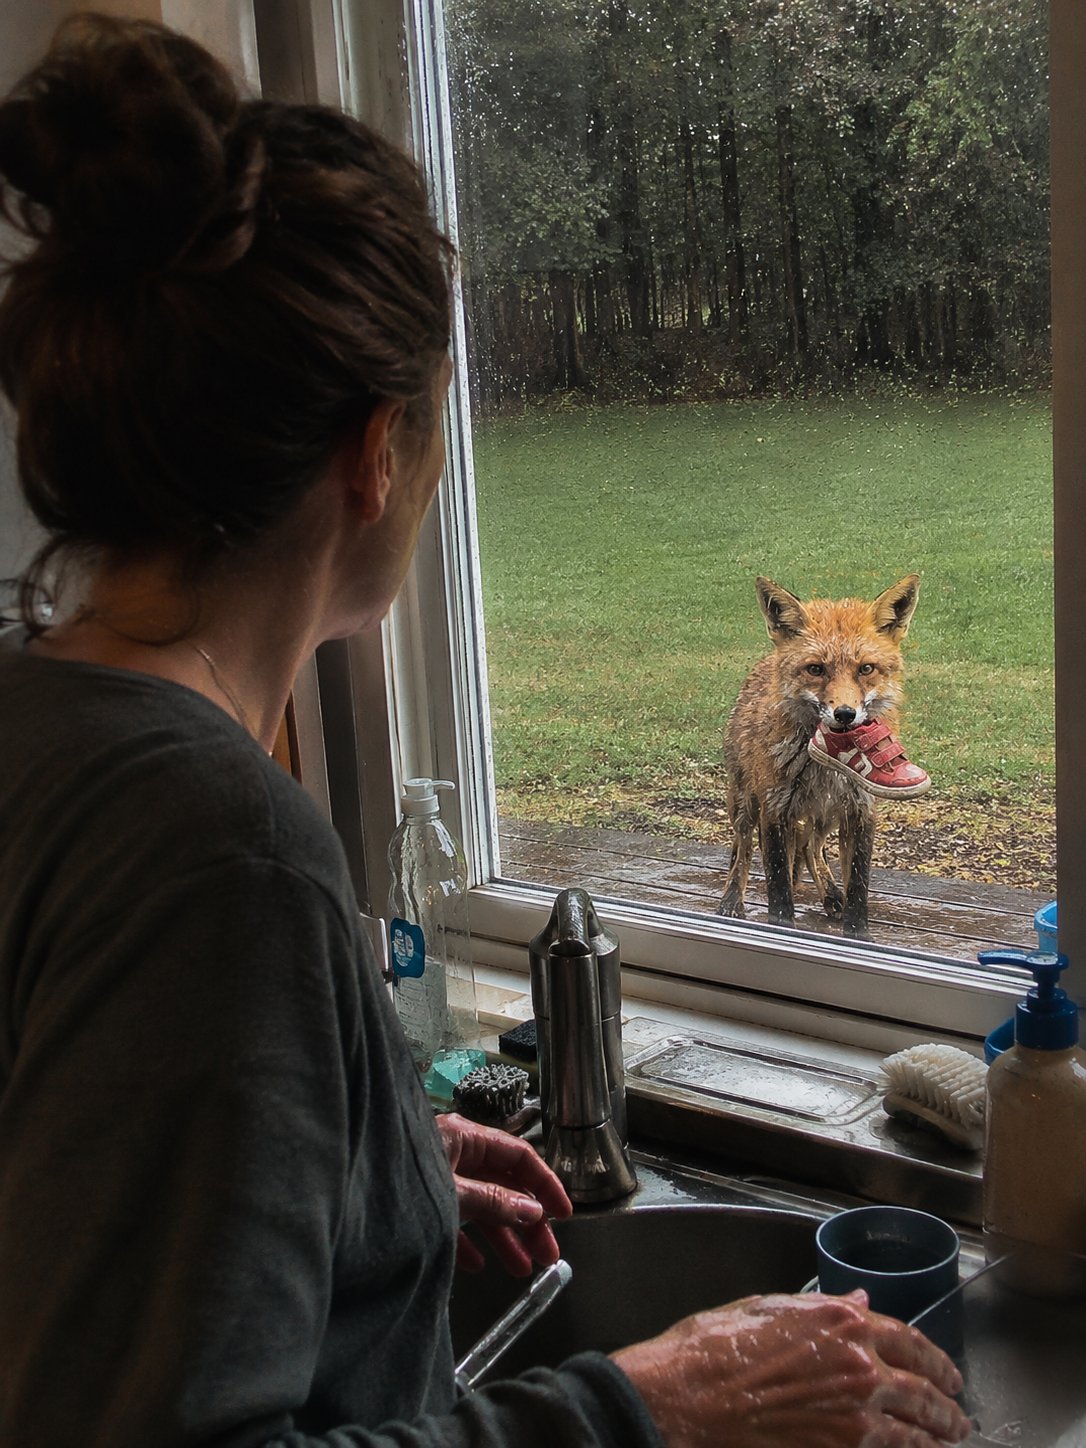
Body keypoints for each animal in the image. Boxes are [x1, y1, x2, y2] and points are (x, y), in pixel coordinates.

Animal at [717, 573, 921, 939]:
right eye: (815, 669)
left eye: (866, 668)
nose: (845, 714)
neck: (826, 767)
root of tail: (763, 662)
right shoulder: (774, 809)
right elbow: (778, 886)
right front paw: (781, 928)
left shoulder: (860, 809)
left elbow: (858, 884)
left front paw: (858, 936)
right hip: (745, 802)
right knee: (742, 848)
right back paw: (731, 899)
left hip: (824, 815)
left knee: (812, 848)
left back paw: (830, 894)